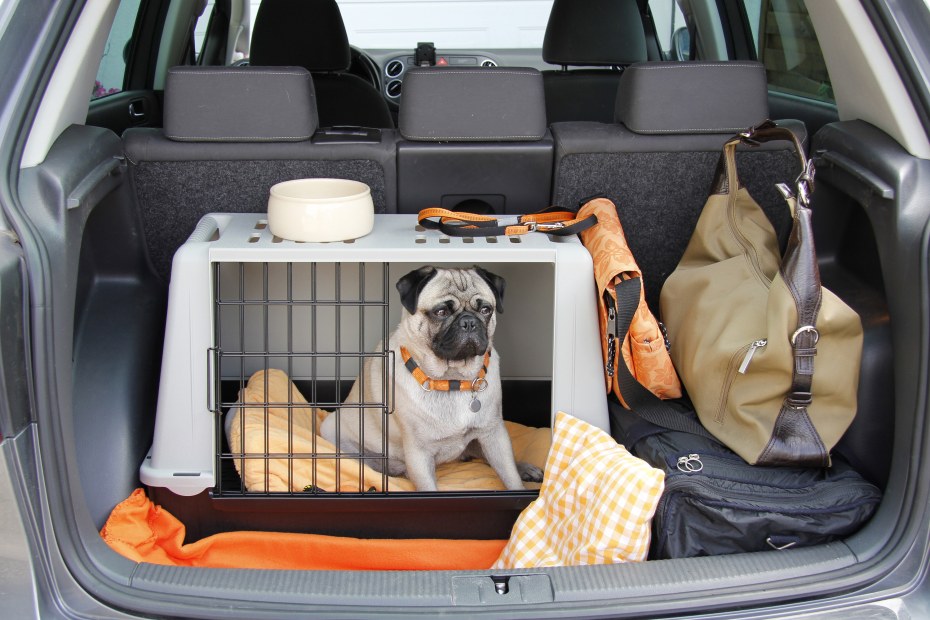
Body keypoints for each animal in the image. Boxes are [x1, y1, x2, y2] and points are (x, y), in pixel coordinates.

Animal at [320, 266, 540, 494]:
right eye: (441, 312)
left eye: (486, 310)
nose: (469, 321)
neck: (453, 380)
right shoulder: (419, 453)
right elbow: (427, 487)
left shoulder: (494, 434)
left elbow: (510, 475)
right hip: (334, 431)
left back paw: (524, 468)